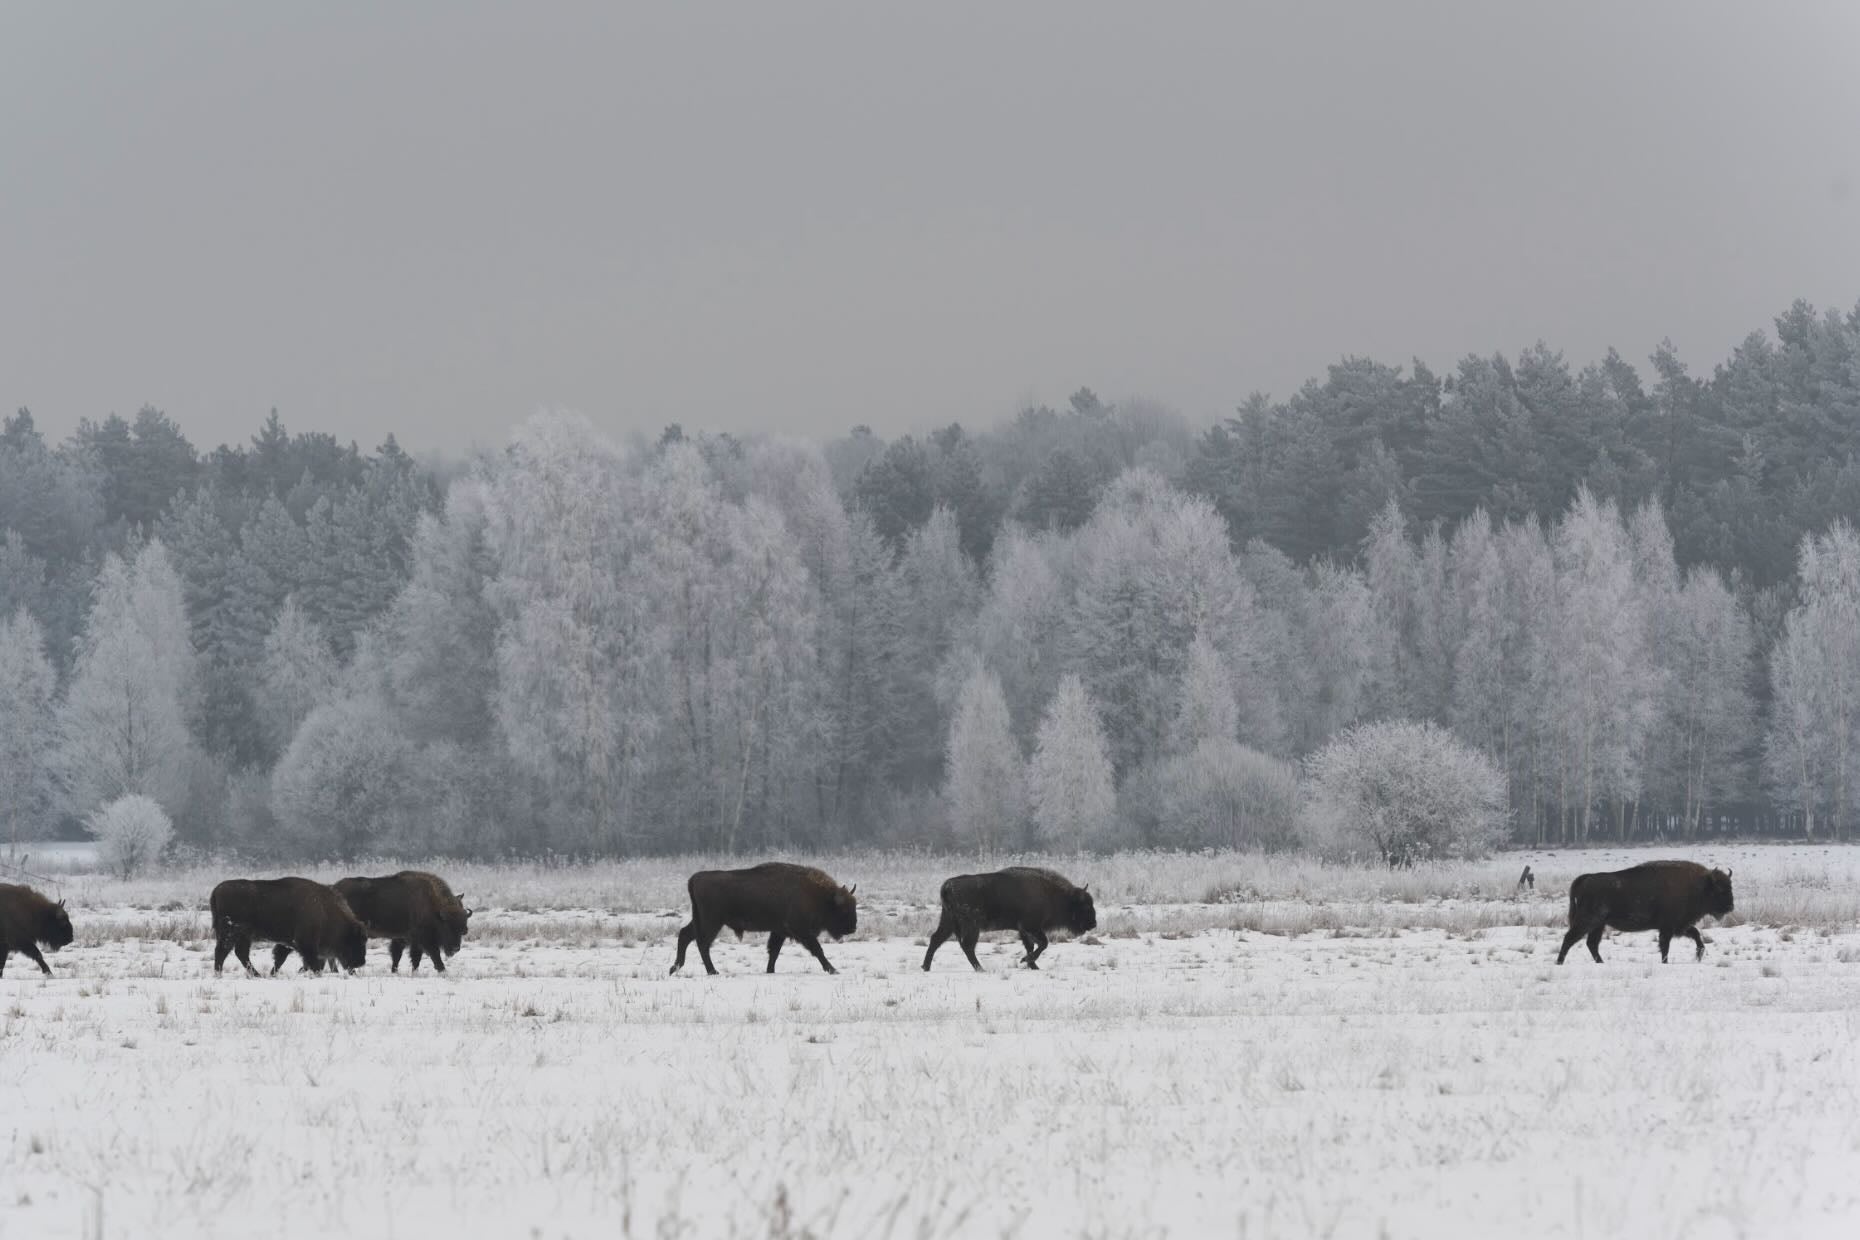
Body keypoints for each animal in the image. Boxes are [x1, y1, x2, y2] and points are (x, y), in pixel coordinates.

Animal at [210, 877, 368, 976]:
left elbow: (280, 958)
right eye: (356, 940)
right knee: (222, 951)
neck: (324, 910)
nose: (360, 963)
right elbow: (312, 961)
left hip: (243, 936)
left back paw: (256, 975)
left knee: (240, 953)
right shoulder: (305, 943)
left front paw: (273, 974)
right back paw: (219, 974)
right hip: (231, 933)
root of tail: (216, 890)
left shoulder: (288, 943)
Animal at [324, 871, 472, 975]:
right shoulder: (423, 939)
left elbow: (405, 956)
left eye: (463, 929)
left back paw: (335, 971)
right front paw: (443, 970)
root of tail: (333, 889)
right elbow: (433, 954)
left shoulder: (406, 938)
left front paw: (401, 971)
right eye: (447, 926)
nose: (455, 948)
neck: (433, 906)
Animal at [670, 862, 858, 975]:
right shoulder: (801, 931)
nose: (853, 927)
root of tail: (694, 879)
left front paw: (770, 970)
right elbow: (817, 949)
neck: (821, 896)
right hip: (711, 922)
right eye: (843, 909)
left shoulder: (779, 931)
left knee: (685, 935)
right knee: (702, 943)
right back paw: (712, 971)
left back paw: (675, 968)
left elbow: (773, 951)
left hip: (701, 920)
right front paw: (832, 969)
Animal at [923, 867, 1097, 972]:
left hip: (949, 922)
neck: (1053, 894)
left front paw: (1033, 966)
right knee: (967, 946)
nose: (1093, 923)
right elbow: (1042, 944)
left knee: (937, 939)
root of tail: (947, 886)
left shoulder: (1024, 930)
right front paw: (1026, 960)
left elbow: (1031, 946)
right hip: (971, 926)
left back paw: (926, 967)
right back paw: (981, 969)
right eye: (1086, 906)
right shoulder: (1031, 927)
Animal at [1556, 860, 1734, 964]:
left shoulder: (1680, 926)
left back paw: (1601, 962)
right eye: (1720, 890)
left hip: (1599, 924)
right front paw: (1665, 962)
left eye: (1730, 887)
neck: (1698, 886)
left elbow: (1696, 934)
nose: (1730, 907)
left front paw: (1699, 955)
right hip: (1588, 921)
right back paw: (1559, 962)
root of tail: (1586, 879)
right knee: (1570, 938)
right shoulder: (1669, 927)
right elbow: (1665, 946)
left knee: (1591, 943)